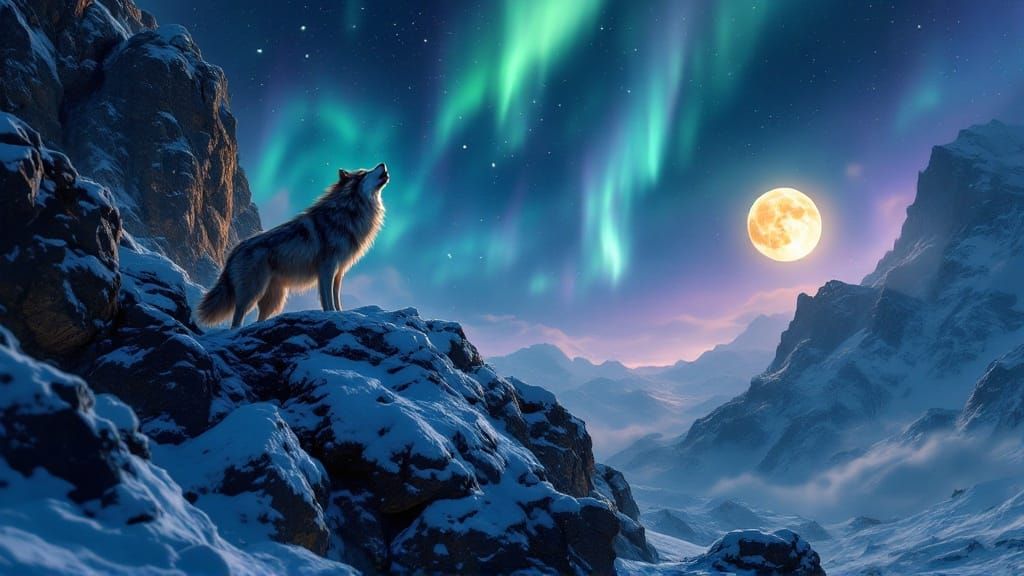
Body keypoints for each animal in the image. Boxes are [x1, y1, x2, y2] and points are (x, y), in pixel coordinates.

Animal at [197, 163, 388, 328]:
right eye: (363, 173)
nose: (383, 164)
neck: (348, 212)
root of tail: (235, 250)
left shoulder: (339, 271)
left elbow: (336, 298)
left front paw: (341, 313)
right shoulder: (326, 269)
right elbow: (327, 300)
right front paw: (331, 315)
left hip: (275, 299)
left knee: (259, 319)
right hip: (253, 292)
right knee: (237, 318)